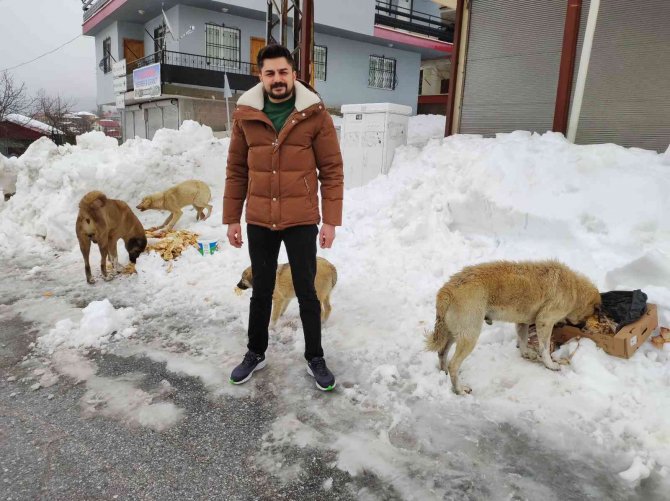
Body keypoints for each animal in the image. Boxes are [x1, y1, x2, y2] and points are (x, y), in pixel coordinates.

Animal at [428, 260, 608, 392]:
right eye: (594, 313)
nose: (585, 328)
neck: (574, 289)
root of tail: (448, 289)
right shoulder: (544, 321)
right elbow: (544, 349)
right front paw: (550, 365)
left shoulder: (522, 323)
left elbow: (522, 340)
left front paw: (526, 354)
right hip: (469, 335)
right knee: (453, 364)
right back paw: (459, 389)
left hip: (453, 332)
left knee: (442, 352)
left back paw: (443, 372)